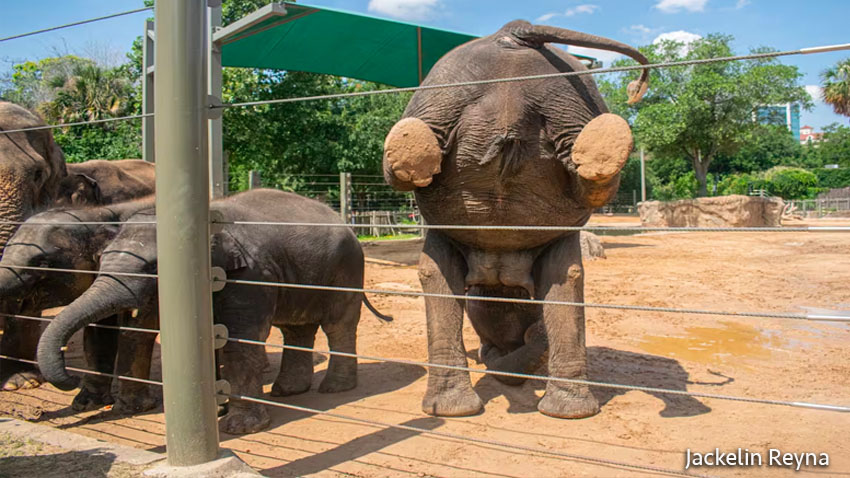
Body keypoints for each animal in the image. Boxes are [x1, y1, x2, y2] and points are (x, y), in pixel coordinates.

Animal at [36, 189, 388, 436]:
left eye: (154, 266)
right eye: (102, 257)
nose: (69, 378)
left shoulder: (251, 274)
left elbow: (241, 339)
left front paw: (240, 428)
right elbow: (146, 332)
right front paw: (134, 409)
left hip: (346, 269)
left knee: (337, 325)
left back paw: (334, 389)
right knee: (296, 328)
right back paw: (287, 391)